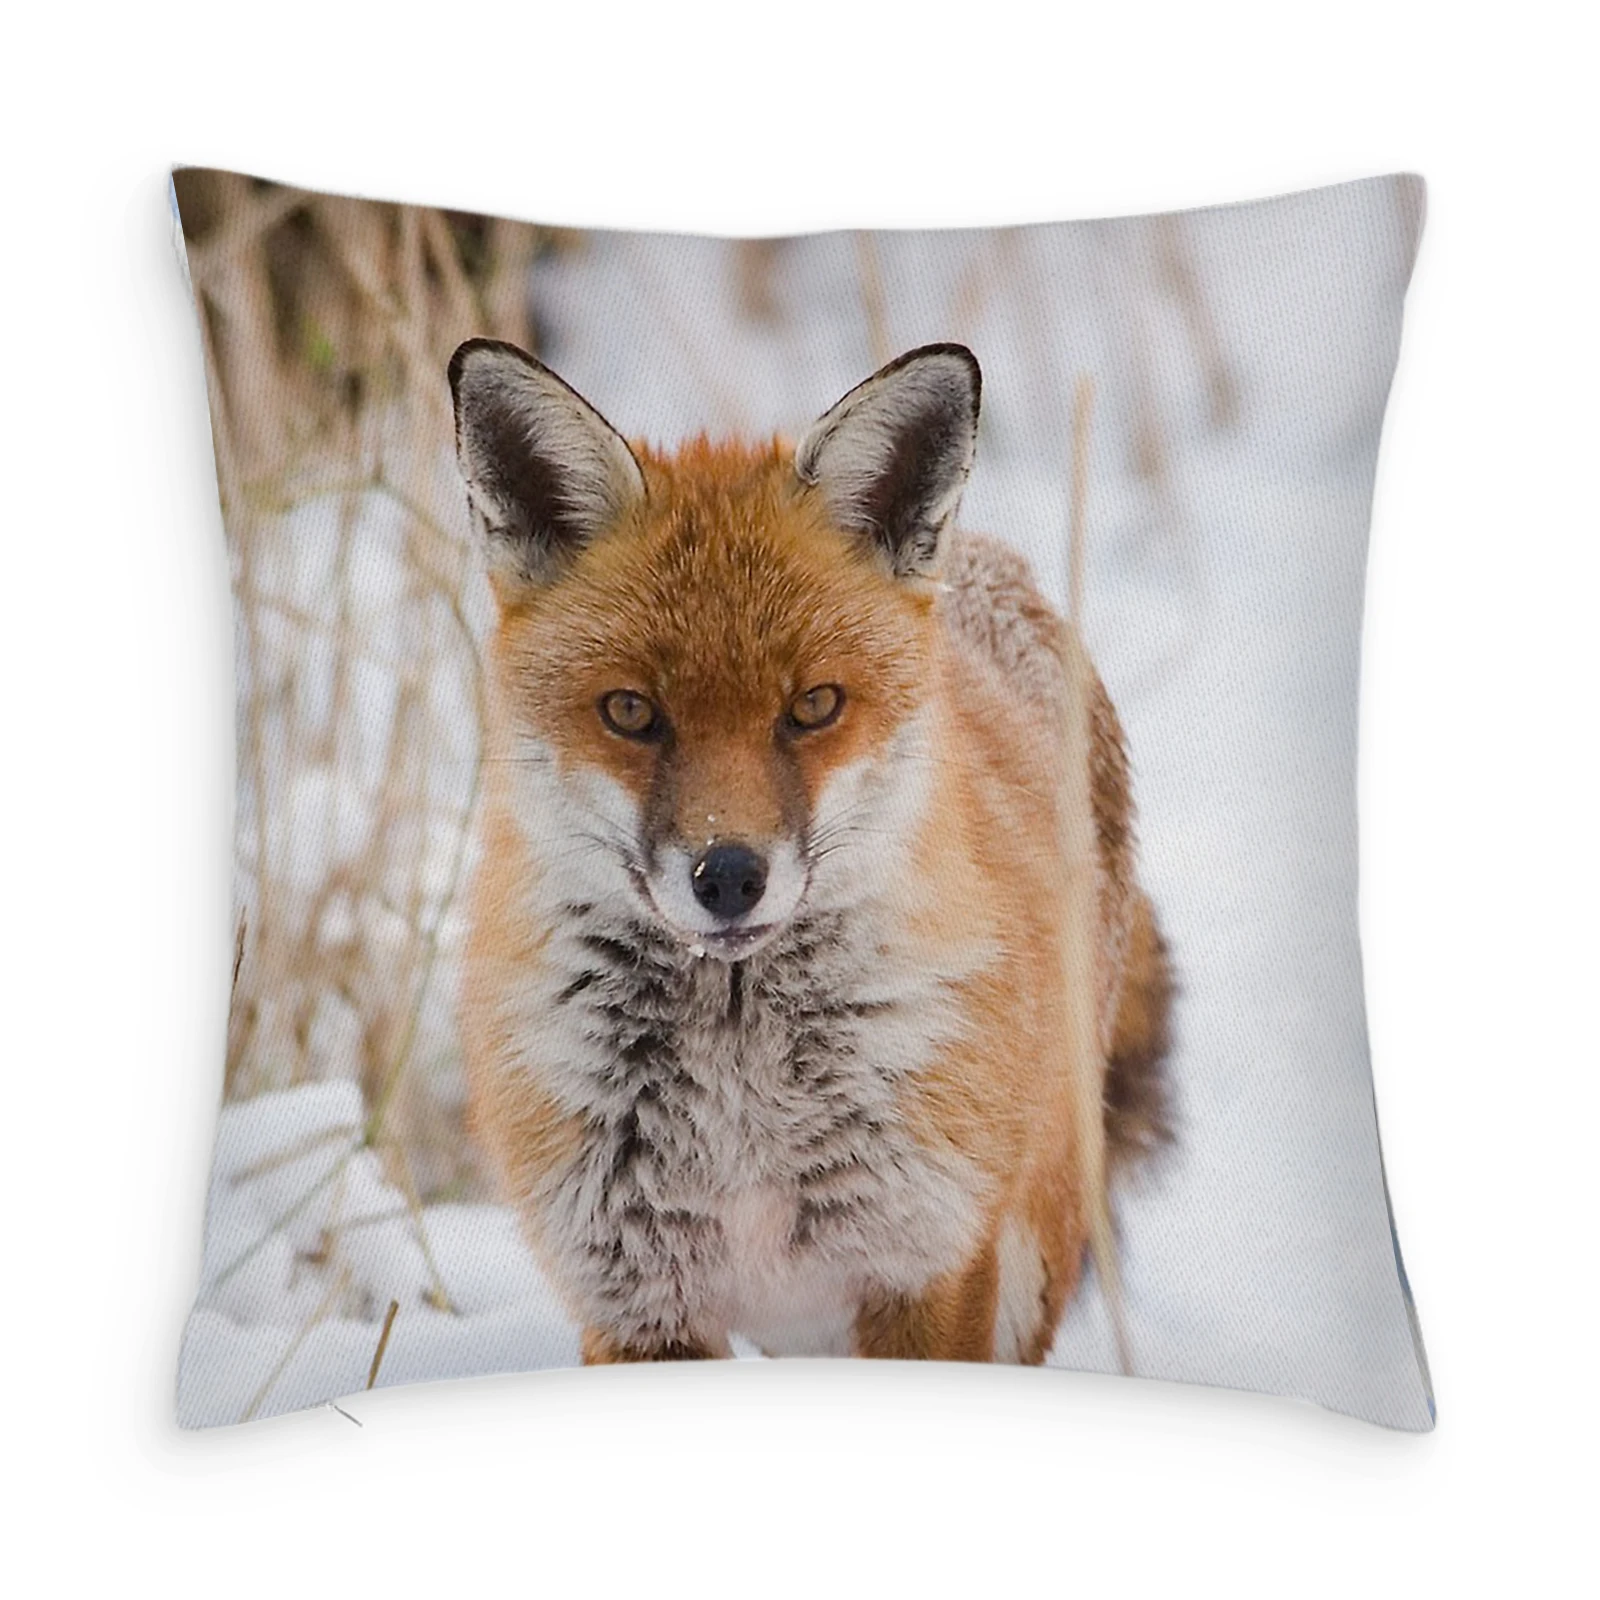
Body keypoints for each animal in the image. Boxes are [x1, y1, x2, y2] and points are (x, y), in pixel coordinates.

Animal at [450, 337, 1171, 1366]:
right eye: (630, 712)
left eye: (814, 706)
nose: (729, 877)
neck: (737, 1099)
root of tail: (997, 562)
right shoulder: (635, 1304)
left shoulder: (927, 1268)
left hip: (1027, 1258)